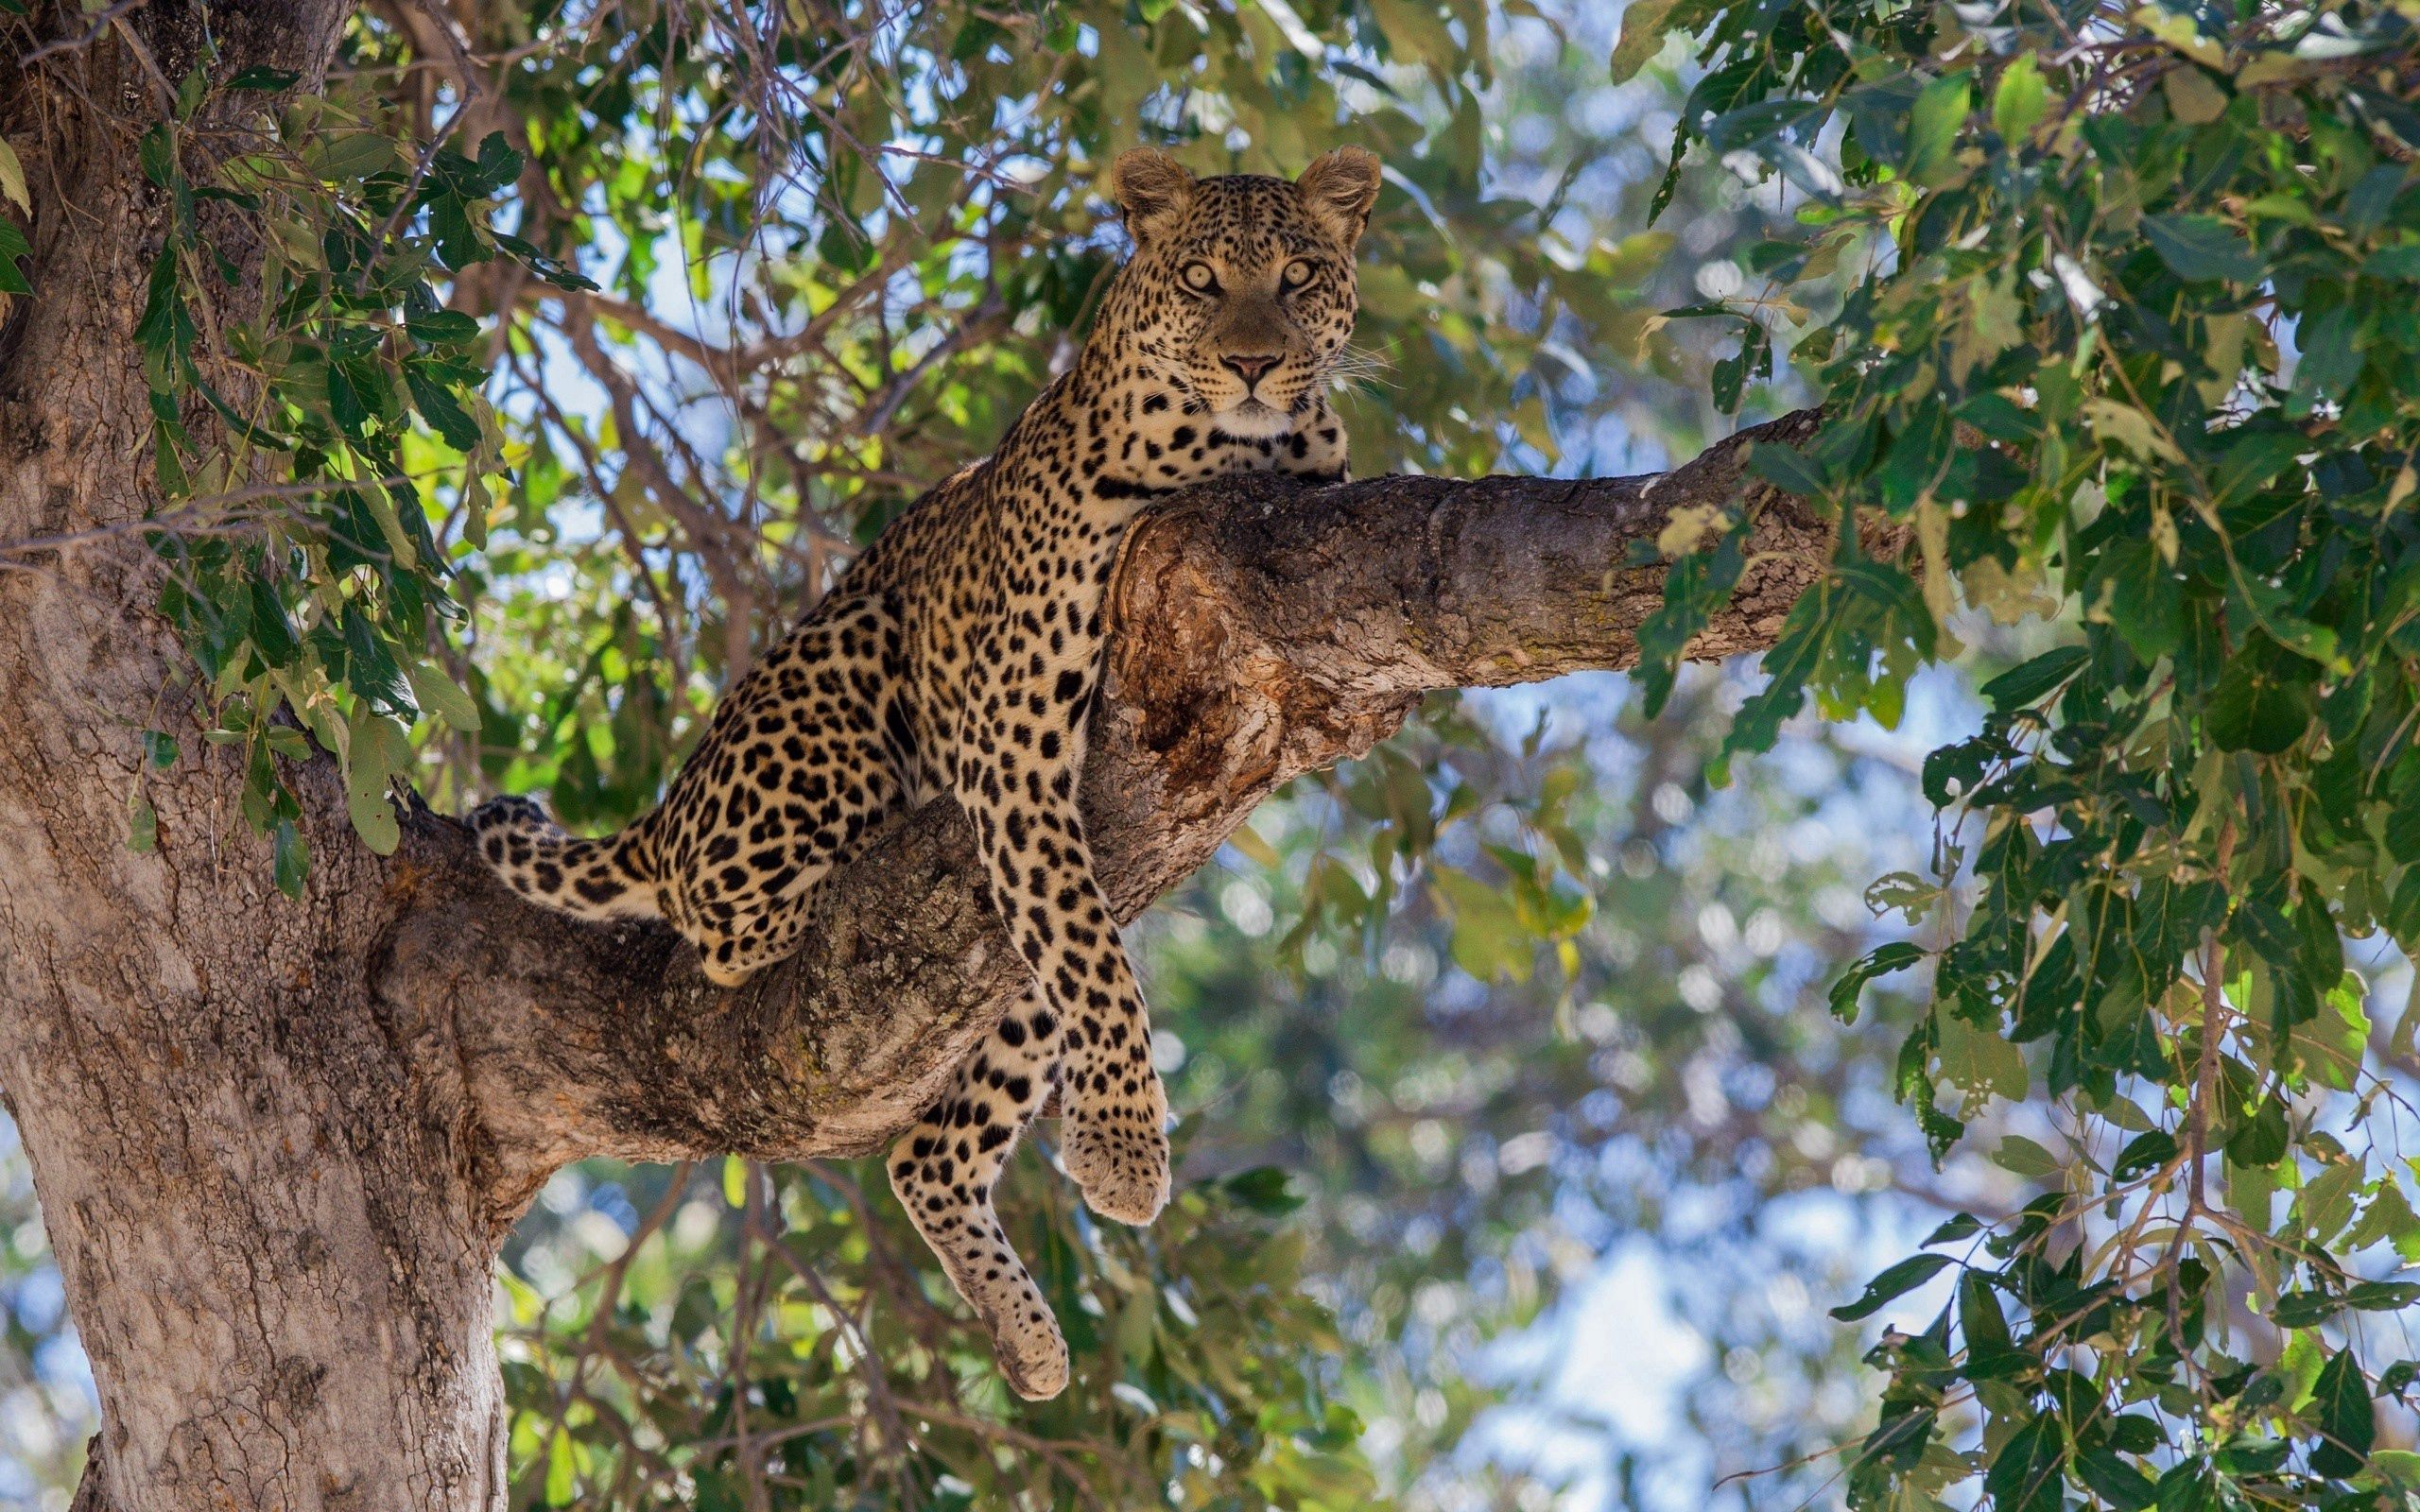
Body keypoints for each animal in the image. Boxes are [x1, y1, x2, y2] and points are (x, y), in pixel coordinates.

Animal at [472, 147, 1384, 1393]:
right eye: (1202, 279)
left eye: (1297, 278)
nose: (1252, 363)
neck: (1241, 450)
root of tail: (668, 804)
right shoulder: (1010, 739)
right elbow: (1100, 970)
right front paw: (1122, 1150)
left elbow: (1090, 960)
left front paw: (1109, 1150)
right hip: (845, 675)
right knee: (726, 927)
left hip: (1009, 968)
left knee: (930, 1148)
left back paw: (1026, 1338)